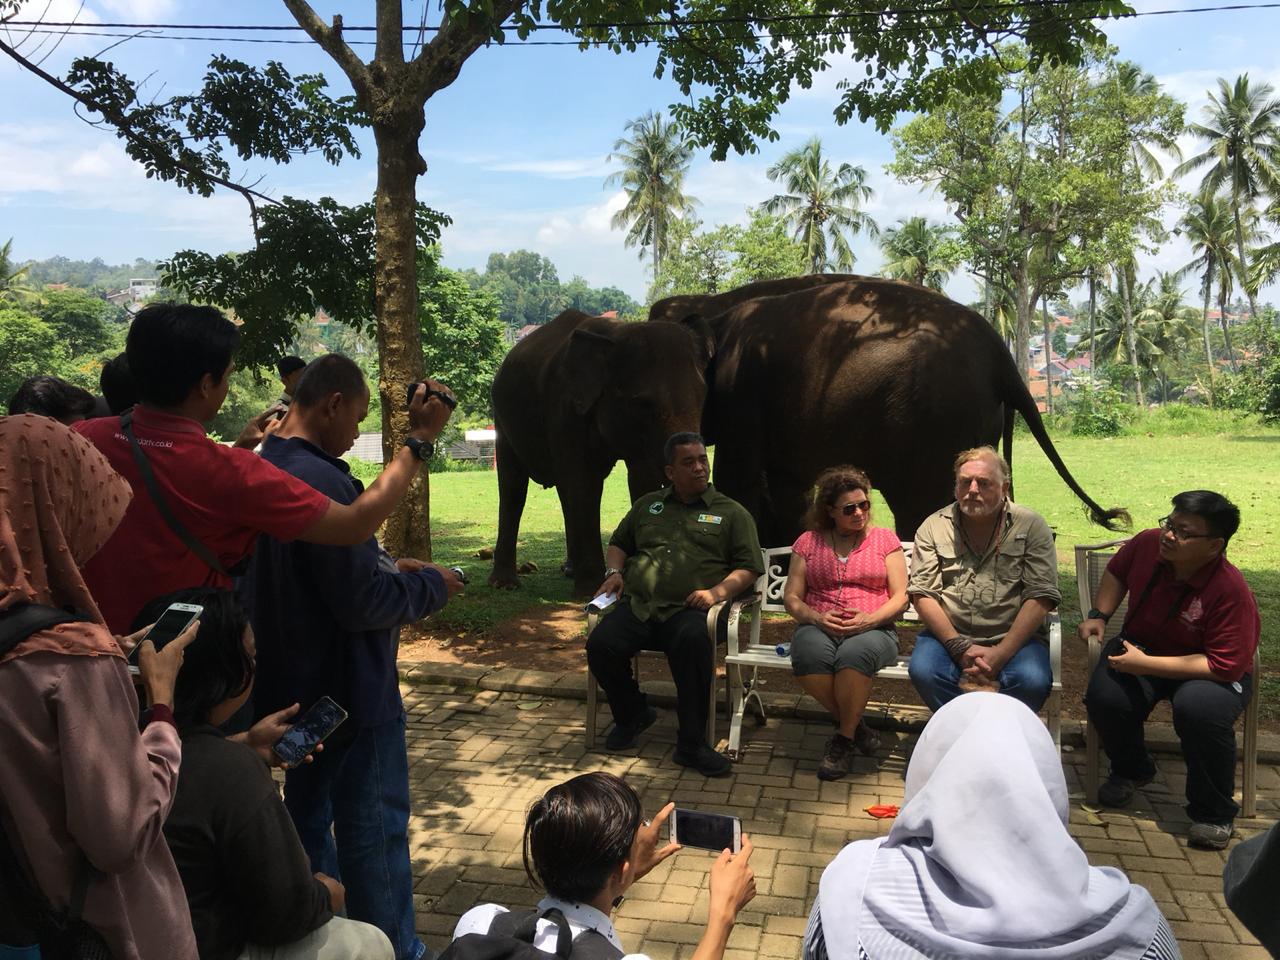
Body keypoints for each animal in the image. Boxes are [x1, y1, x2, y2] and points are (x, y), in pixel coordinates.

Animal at [488, 309, 716, 593]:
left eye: (703, 395)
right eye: (643, 403)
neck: (616, 334)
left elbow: (641, 480)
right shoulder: (564, 409)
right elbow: (584, 483)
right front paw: (591, 588)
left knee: (562, 491)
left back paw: (569, 570)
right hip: (501, 417)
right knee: (513, 485)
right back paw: (505, 584)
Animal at [645, 277, 1126, 547]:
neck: (717, 318)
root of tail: (1003, 358)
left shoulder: (742, 398)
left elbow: (736, 479)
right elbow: (785, 486)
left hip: (936, 421)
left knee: (921, 505)